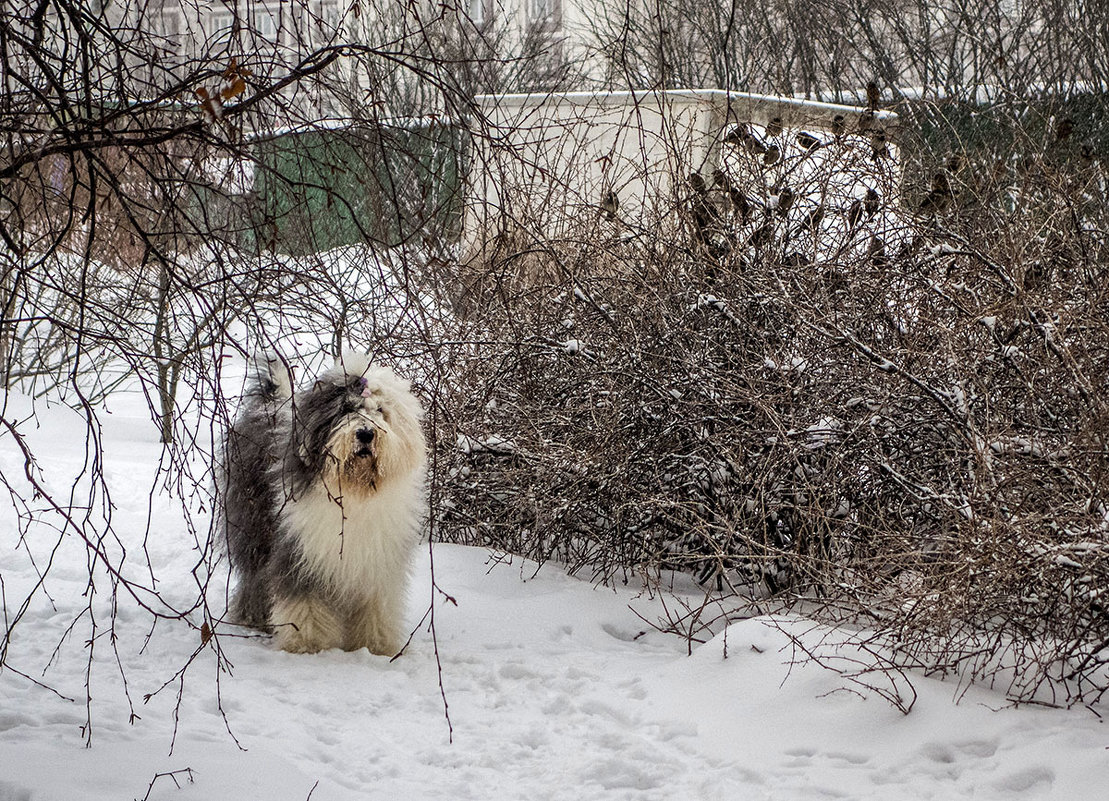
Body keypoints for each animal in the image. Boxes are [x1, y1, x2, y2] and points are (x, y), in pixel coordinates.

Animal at [218, 352, 425, 652]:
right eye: (347, 409)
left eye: (380, 411)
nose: (366, 433)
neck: (353, 493)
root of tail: (272, 402)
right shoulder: (302, 551)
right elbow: (306, 601)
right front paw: (307, 644)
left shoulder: (376, 563)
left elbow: (375, 607)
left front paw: (374, 646)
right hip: (254, 524)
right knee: (255, 574)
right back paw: (253, 617)